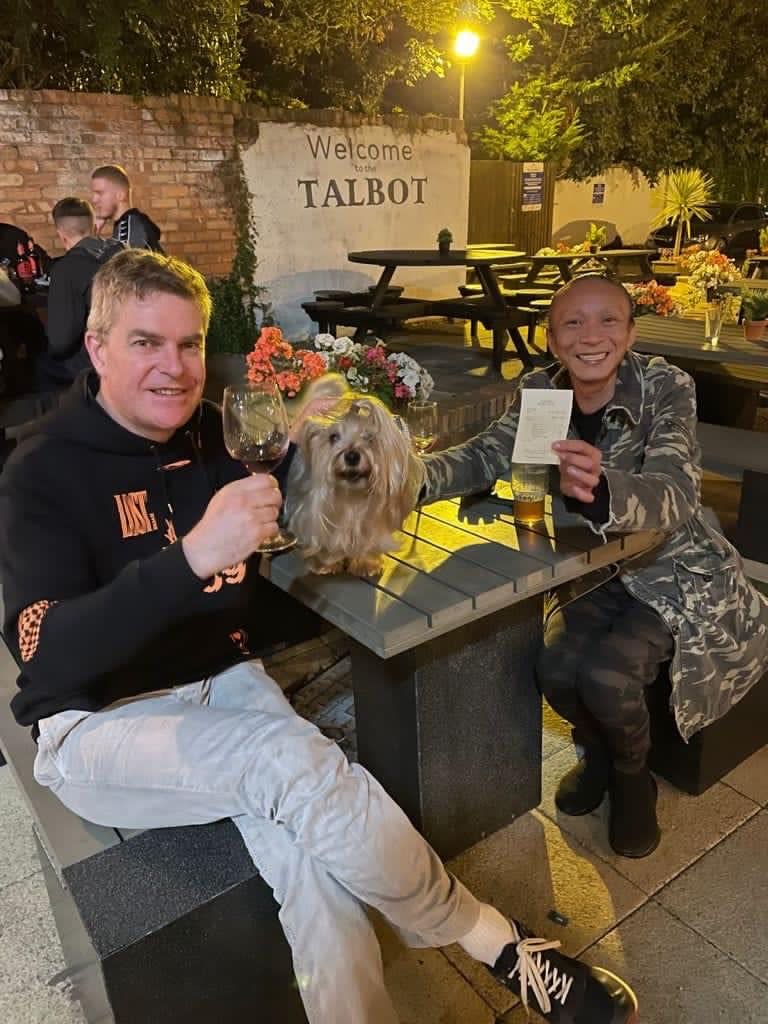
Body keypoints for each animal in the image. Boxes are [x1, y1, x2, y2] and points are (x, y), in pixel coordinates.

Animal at [286, 372, 423, 577]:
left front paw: (366, 563)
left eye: (369, 437)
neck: (351, 497)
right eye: (333, 437)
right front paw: (324, 563)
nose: (351, 456)